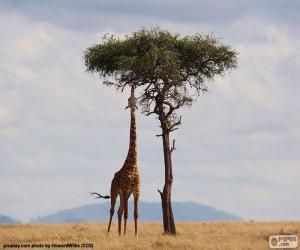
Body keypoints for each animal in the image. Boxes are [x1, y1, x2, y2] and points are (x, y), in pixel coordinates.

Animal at [91, 85, 140, 236]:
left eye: (136, 99)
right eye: (129, 99)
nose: (132, 87)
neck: (133, 164)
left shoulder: (136, 191)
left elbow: (135, 214)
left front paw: (135, 235)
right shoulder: (125, 189)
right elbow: (127, 214)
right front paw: (125, 235)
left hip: (125, 194)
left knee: (119, 211)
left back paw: (118, 233)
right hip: (115, 191)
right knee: (113, 210)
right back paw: (109, 233)